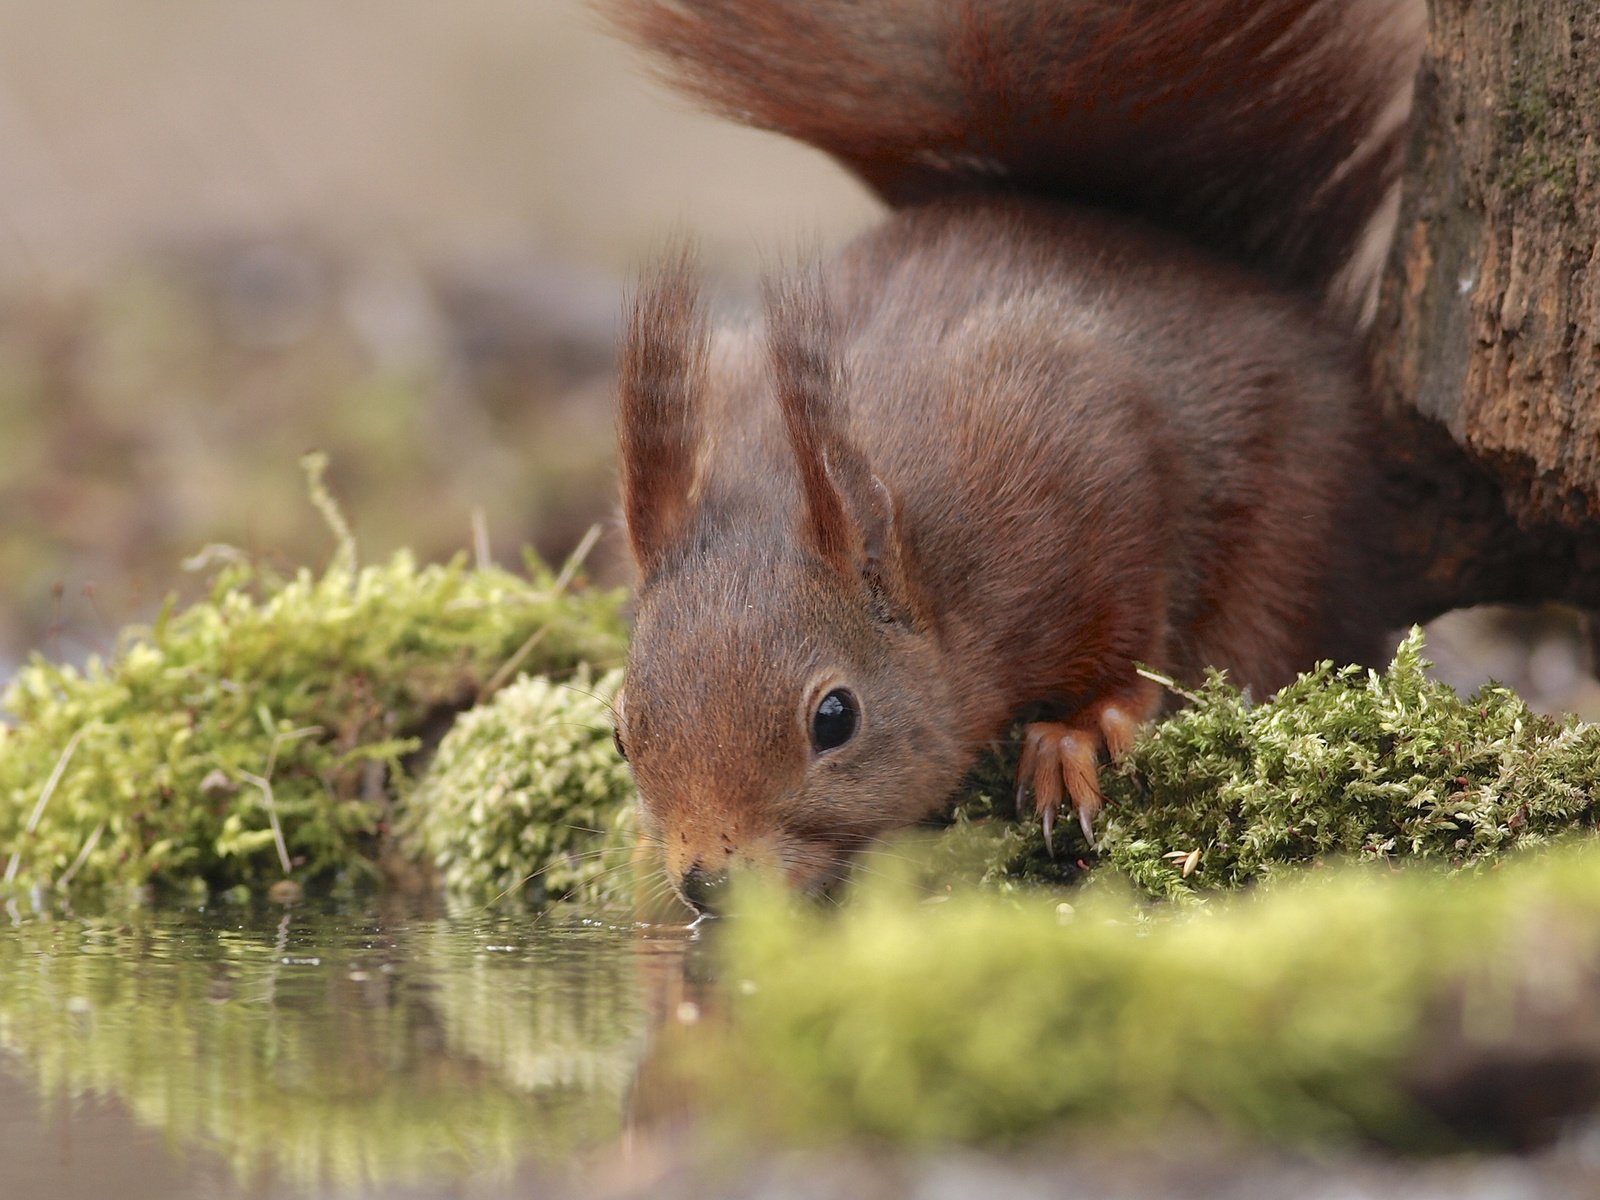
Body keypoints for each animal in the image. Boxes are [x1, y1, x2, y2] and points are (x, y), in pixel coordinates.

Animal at [601, 0, 1427, 908]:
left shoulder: (1082, 463)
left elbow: (1131, 639)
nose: (707, 883)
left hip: (1294, 540)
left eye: (835, 718)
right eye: (621, 731)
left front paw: (1078, 735)